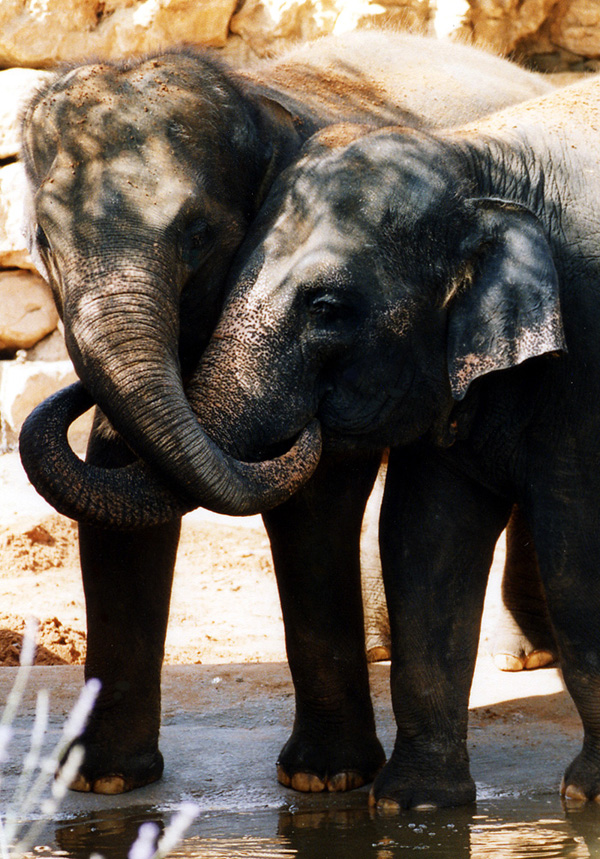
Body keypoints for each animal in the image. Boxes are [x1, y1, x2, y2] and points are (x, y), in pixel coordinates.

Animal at [21, 35, 556, 800]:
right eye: (43, 239)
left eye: (197, 232)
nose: (70, 385)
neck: (251, 92)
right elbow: (118, 481)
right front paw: (102, 780)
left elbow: (315, 501)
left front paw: (325, 778)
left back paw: (522, 654)